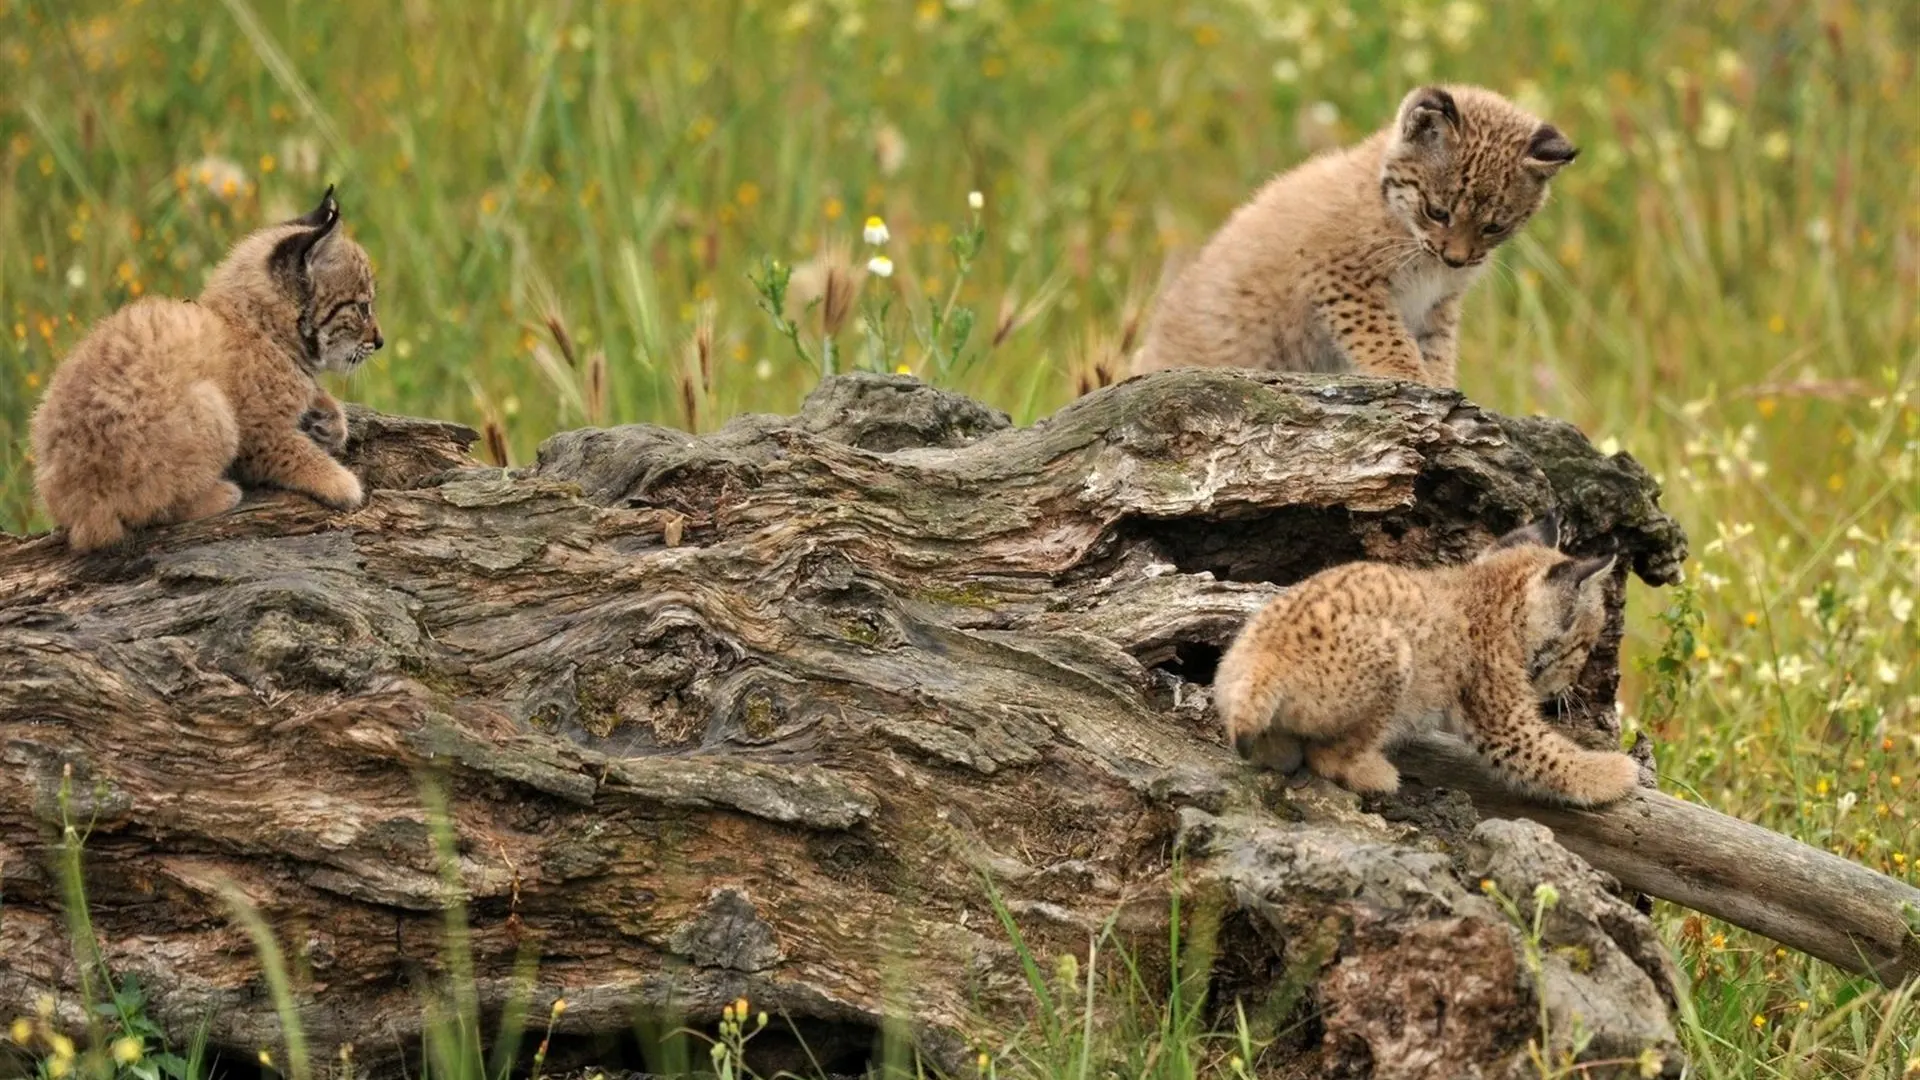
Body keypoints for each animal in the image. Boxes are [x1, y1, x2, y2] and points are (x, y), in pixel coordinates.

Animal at [32, 186, 382, 549]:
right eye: (363, 307)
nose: (380, 341)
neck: (257, 326)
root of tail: (78, 513)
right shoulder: (259, 435)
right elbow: (295, 453)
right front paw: (341, 483)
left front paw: (329, 419)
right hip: (211, 407)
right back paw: (221, 495)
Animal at [1128, 85, 1566, 384]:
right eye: (1437, 212)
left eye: (1494, 227)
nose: (1456, 259)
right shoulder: (1341, 277)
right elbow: (1384, 337)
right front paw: (1409, 379)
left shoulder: (1438, 303)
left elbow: (1438, 348)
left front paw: (1440, 388)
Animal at [1213, 515, 1635, 807]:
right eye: (1584, 647)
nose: (1570, 689)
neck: (1486, 584)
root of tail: (1266, 658)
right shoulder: (1503, 721)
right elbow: (1549, 756)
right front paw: (1614, 772)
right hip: (1396, 651)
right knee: (1325, 756)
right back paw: (1373, 773)